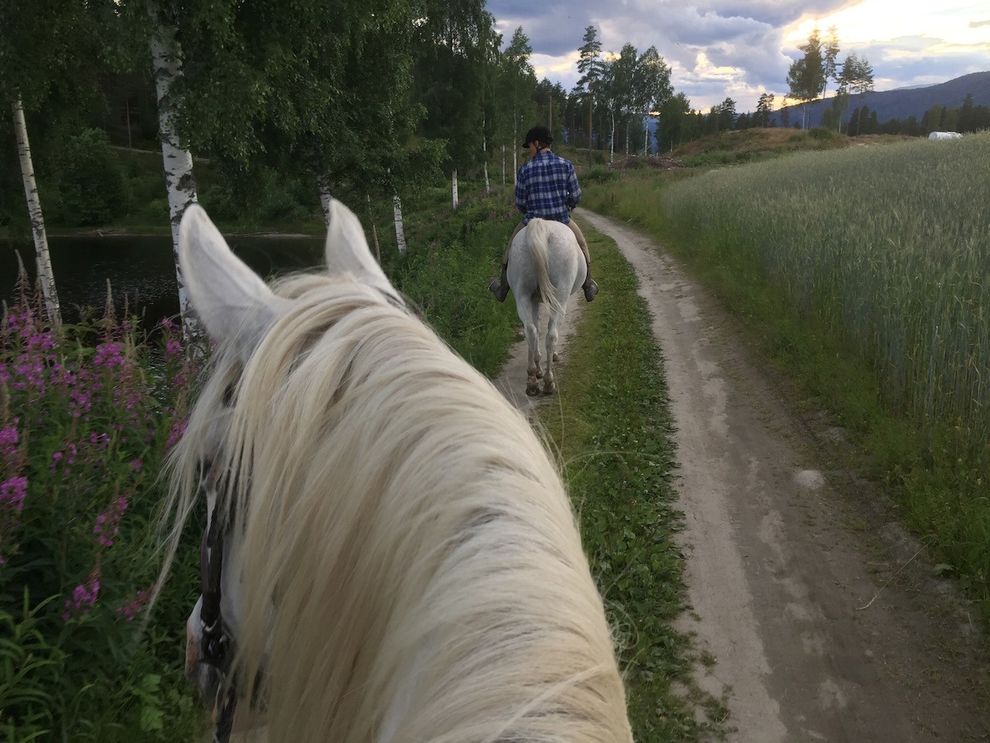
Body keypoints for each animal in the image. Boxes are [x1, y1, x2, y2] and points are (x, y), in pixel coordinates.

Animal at [508, 218, 584, 398]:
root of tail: (542, 226)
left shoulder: (534, 300)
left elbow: (536, 327)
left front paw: (537, 370)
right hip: (561, 295)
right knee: (551, 335)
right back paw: (549, 383)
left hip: (522, 294)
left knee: (530, 330)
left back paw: (532, 382)